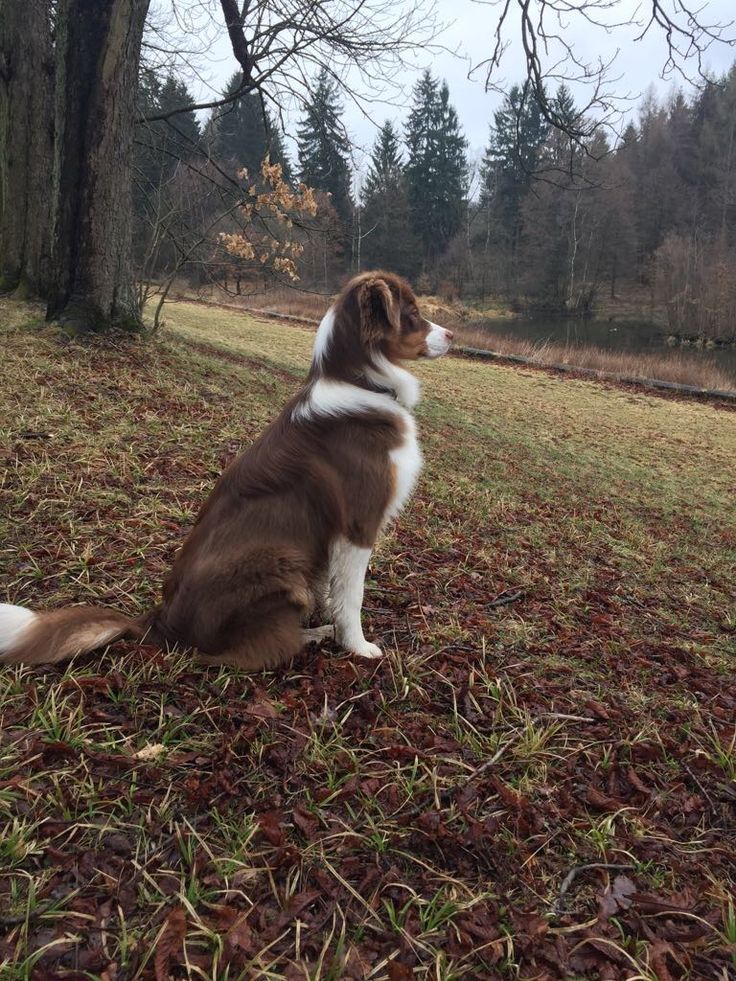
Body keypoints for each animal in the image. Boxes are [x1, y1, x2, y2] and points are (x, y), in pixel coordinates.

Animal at [0, 272, 452, 668]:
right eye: (412, 313)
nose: (452, 336)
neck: (358, 380)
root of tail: (159, 624)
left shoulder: (333, 536)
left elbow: (331, 588)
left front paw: (331, 622)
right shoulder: (359, 523)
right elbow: (352, 595)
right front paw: (357, 645)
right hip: (280, 559)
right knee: (249, 653)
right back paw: (304, 638)